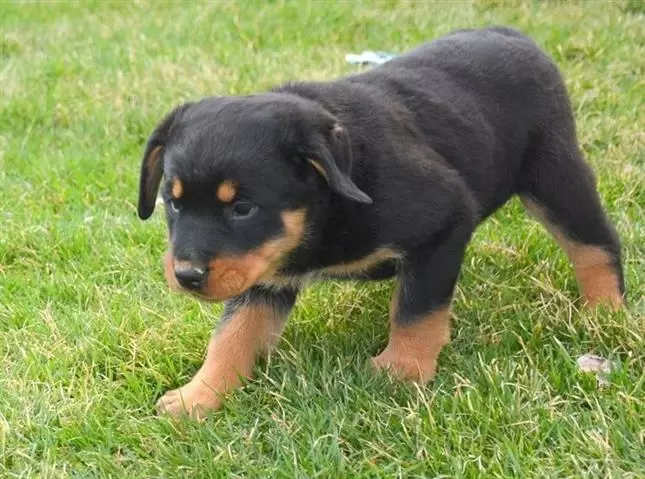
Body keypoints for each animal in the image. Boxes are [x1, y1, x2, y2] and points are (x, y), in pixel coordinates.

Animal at [137, 26, 624, 418]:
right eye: (172, 203)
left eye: (243, 208)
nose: (186, 275)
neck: (330, 206)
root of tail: (514, 35)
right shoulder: (265, 270)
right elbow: (233, 334)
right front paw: (198, 396)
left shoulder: (446, 220)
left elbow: (416, 307)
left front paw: (401, 370)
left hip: (555, 175)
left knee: (595, 242)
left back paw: (605, 311)